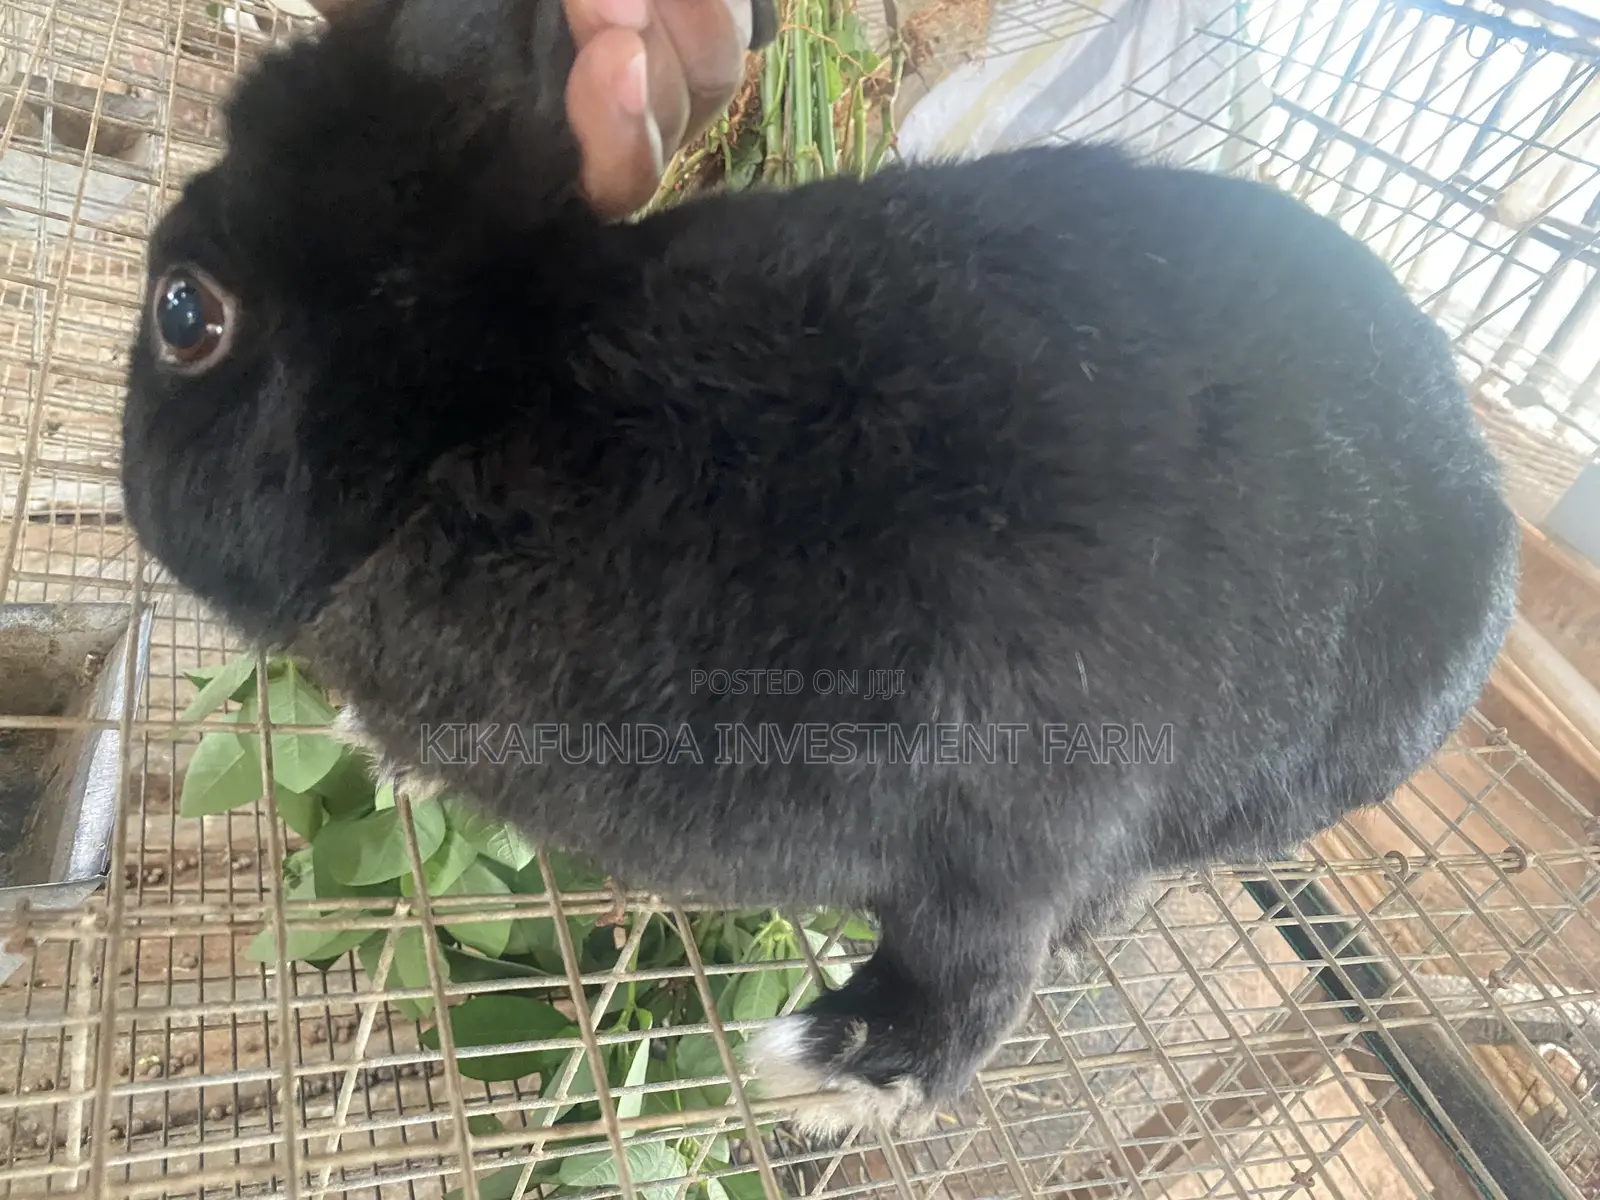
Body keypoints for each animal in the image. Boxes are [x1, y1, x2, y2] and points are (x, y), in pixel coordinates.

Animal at [119, 0, 1520, 1141]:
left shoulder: (1023, 803)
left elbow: (976, 973)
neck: (498, 409)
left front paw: (835, 1074)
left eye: (185, 314)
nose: (131, 495)